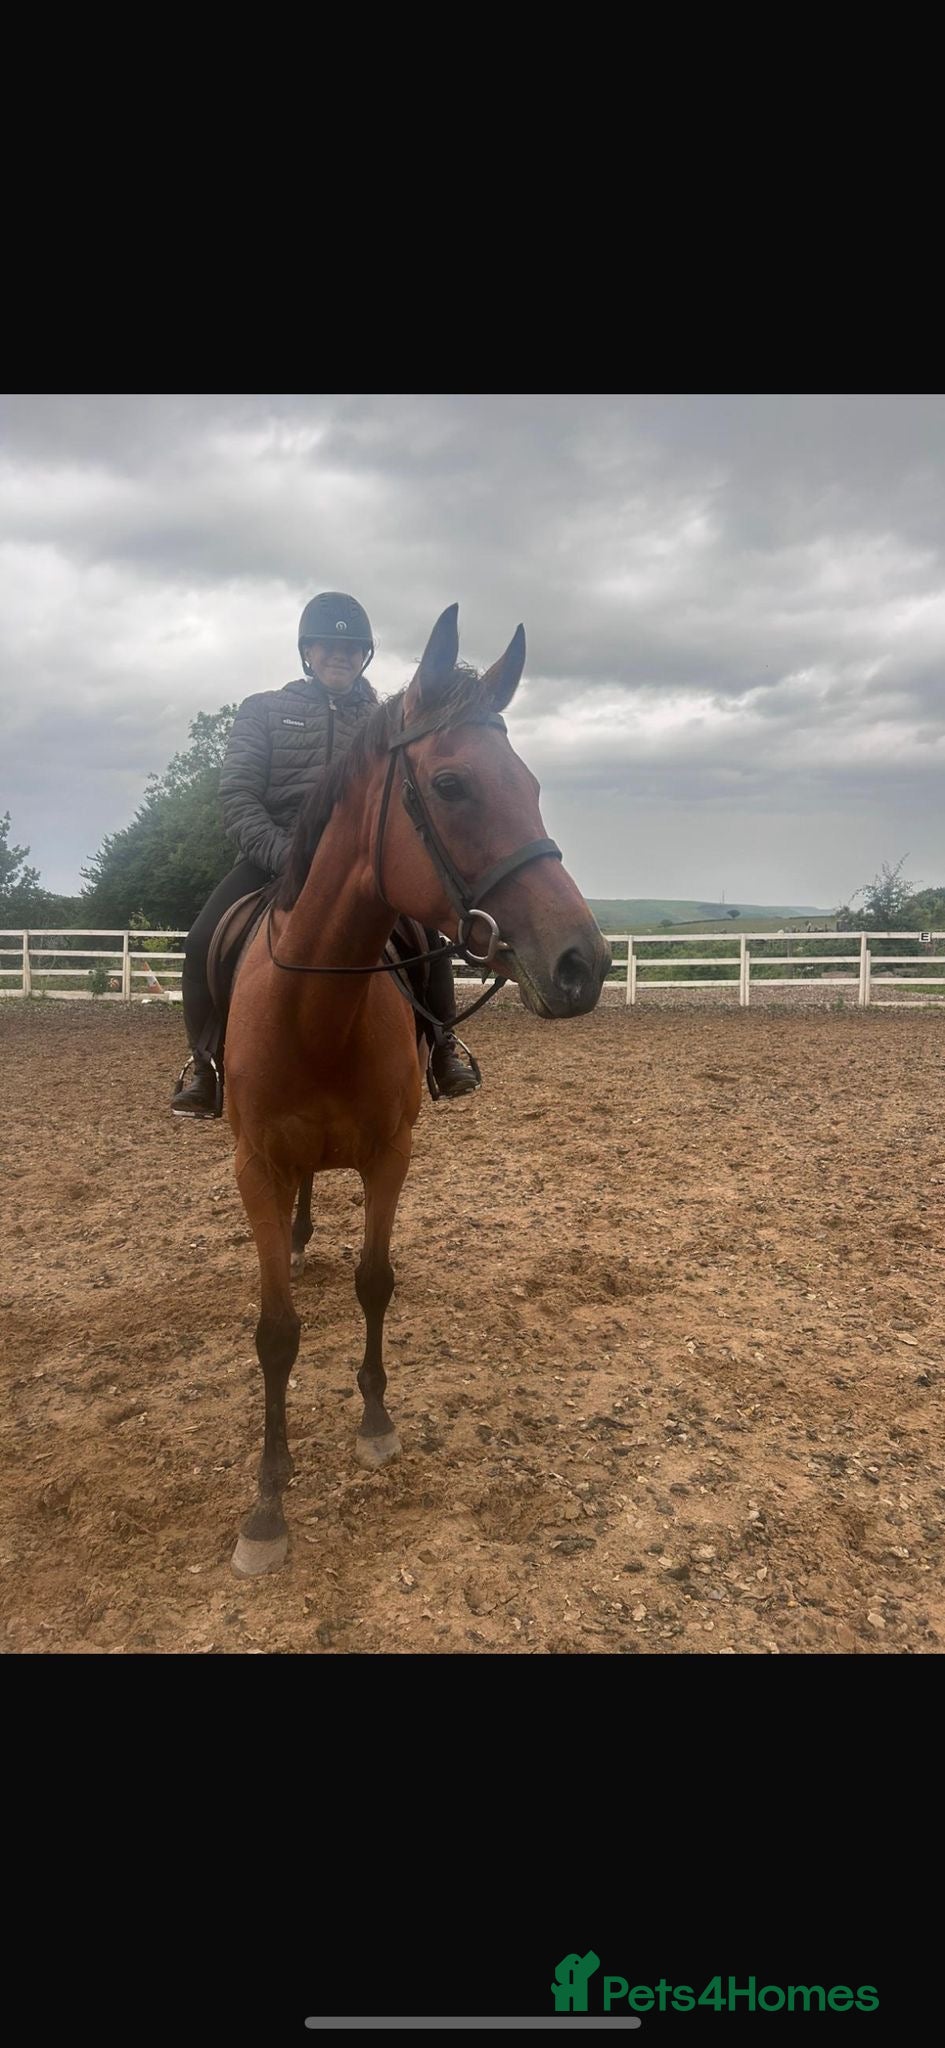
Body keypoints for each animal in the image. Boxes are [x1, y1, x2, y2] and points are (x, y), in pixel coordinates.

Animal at [223, 604, 611, 1576]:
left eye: (530, 784)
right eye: (451, 785)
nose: (583, 965)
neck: (317, 1011)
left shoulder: (390, 1156)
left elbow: (375, 1281)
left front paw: (373, 1422)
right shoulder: (253, 1168)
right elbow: (276, 1332)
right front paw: (267, 1507)